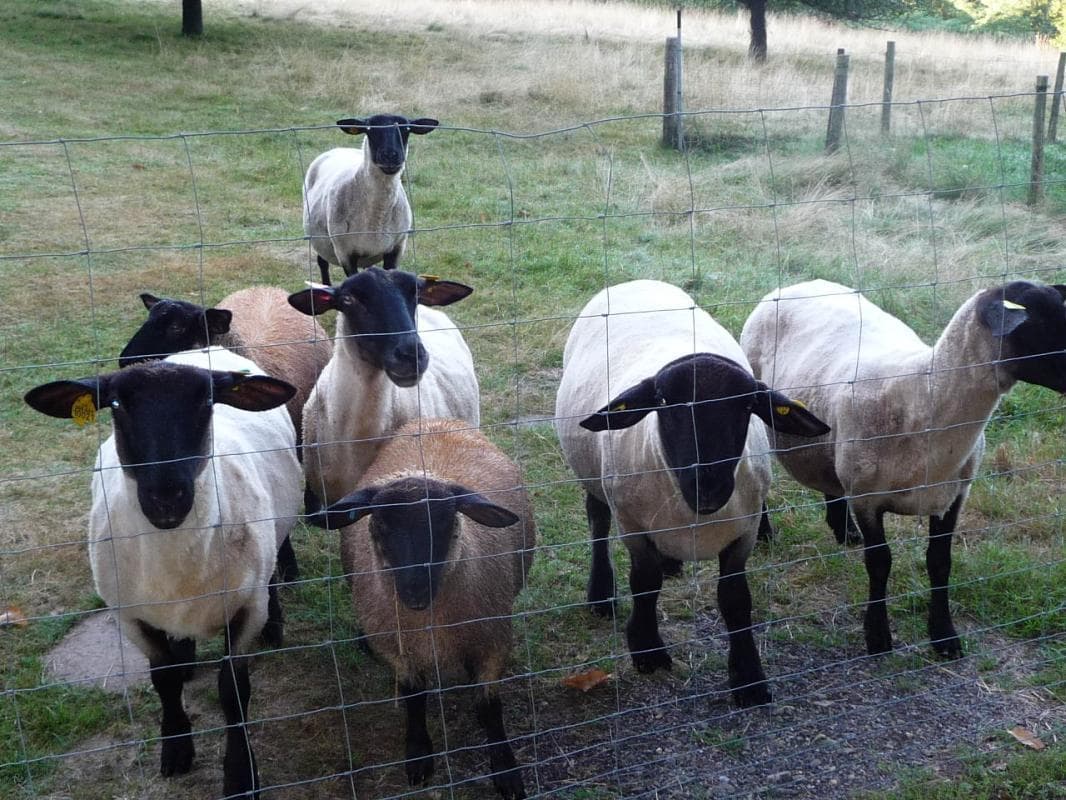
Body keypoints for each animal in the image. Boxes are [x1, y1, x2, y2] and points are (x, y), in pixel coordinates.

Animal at [23, 346, 302, 799]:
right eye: (116, 404)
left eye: (207, 401)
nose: (166, 497)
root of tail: (200, 349)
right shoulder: (132, 616)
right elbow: (163, 679)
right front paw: (175, 749)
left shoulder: (244, 611)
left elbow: (233, 691)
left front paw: (241, 776)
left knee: (274, 568)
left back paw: (274, 626)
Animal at [303, 114, 439, 285]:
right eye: (370, 130)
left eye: (407, 129)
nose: (390, 156)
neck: (377, 214)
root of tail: (338, 149)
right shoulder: (345, 253)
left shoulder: (396, 248)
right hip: (320, 241)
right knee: (322, 263)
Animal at [308, 417, 535, 800]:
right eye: (381, 524)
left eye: (445, 523)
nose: (415, 592)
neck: (431, 623)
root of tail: (428, 419)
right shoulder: (397, 647)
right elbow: (415, 697)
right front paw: (417, 755)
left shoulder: (493, 639)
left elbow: (489, 707)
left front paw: (505, 769)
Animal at [554, 280, 830, 707]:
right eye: (665, 402)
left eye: (747, 406)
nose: (708, 486)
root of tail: (639, 281)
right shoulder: (632, 525)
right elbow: (644, 582)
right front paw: (647, 649)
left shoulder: (743, 532)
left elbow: (735, 599)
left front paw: (749, 678)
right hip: (592, 476)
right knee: (596, 519)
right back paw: (600, 594)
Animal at [739, 278, 1066, 658]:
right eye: (1042, 324)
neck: (922, 397)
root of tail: (799, 283)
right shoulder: (867, 498)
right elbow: (880, 563)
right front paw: (878, 636)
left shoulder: (954, 495)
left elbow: (939, 562)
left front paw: (944, 637)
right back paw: (765, 533)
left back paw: (844, 531)